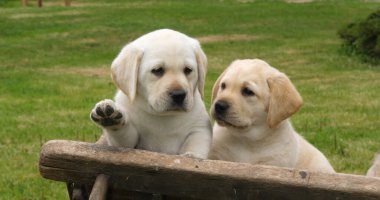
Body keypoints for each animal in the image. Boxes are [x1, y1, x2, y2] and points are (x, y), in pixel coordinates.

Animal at [90, 28, 212, 159]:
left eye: (188, 70)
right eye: (157, 70)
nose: (179, 95)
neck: (163, 116)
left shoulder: (199, 129)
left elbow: (195, 144)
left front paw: (191, 155)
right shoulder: (129, 143)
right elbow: (123, 136)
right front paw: (111, 118)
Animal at [208, 58, 336, 173]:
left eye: (248, 91)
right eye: (223, 86)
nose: (219, 105)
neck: (246, 139)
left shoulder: (272, 164)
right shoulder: (216, 157)